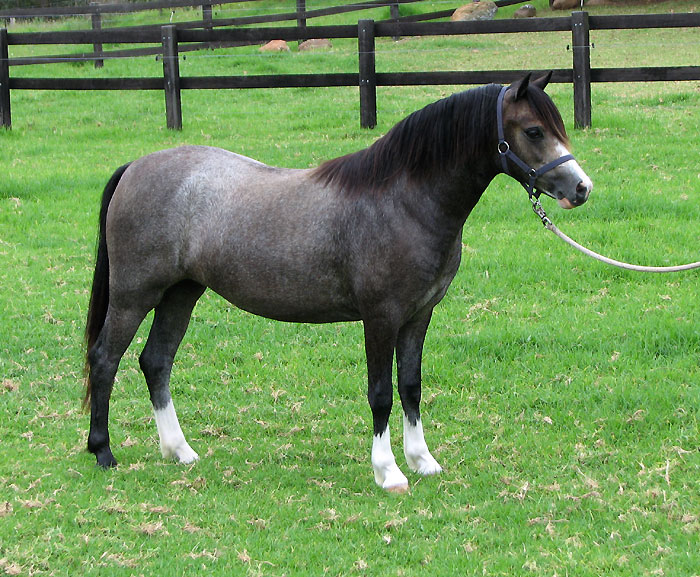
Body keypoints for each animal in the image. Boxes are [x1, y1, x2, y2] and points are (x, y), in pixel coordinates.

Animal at [84, 73, 592, 492]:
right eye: (533, 130)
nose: (581, 188)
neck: (403, 201)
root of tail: (135, 167)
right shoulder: (380, 317)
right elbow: (380, 393)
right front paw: (388, 472)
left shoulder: (418, 315)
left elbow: (411, 385)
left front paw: (422, 461)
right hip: (134, 295)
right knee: (106, 358)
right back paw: (103, 452)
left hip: (181, 293)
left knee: (156, 361)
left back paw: (180, 451)